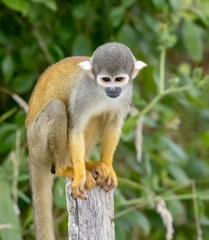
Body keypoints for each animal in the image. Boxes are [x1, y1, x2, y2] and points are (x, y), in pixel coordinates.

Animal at [25, 43, 145, 240]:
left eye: (119, 79)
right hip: (38, 142)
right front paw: (80, 176)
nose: (113, 90)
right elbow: (75, 129)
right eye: (106, 79)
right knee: (57, 108)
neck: (100, 91)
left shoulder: (126, 94)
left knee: (98, 116)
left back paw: (88, 163)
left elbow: (113, 125)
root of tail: (31, 153)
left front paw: (108, 166)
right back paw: (66, 168)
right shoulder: (82, 94)